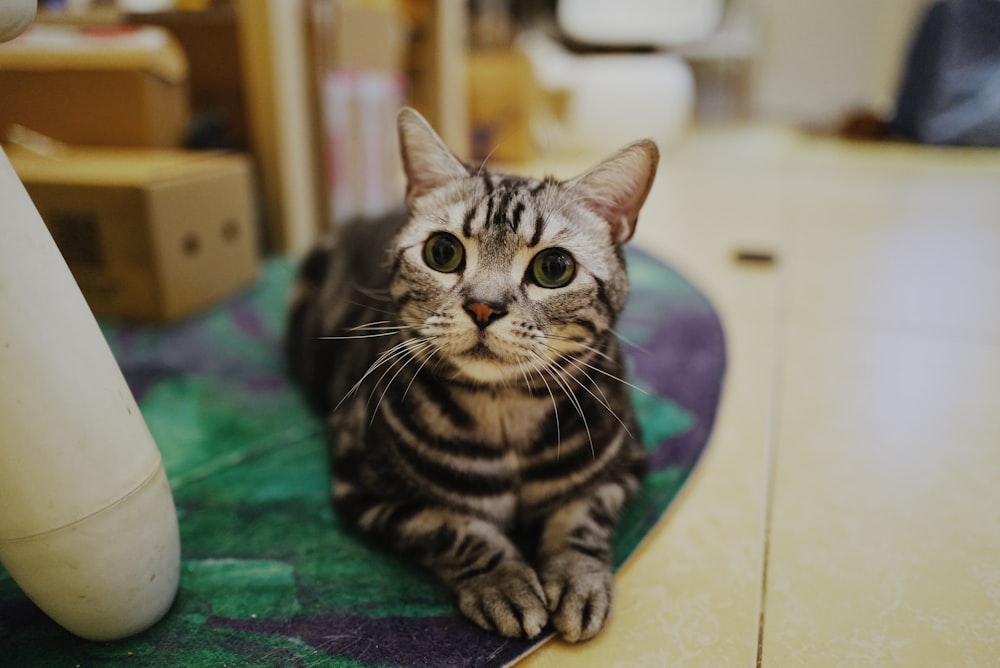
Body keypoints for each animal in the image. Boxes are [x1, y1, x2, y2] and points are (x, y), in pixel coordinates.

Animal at [286, 108, 660, 640]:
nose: (485, 306)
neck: (504, 411)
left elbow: (580, 518)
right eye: (443, 253)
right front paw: (505, 583)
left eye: (554, 267)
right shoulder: (363, 486)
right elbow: (454, 529)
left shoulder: (624, 467)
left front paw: (578, 581)